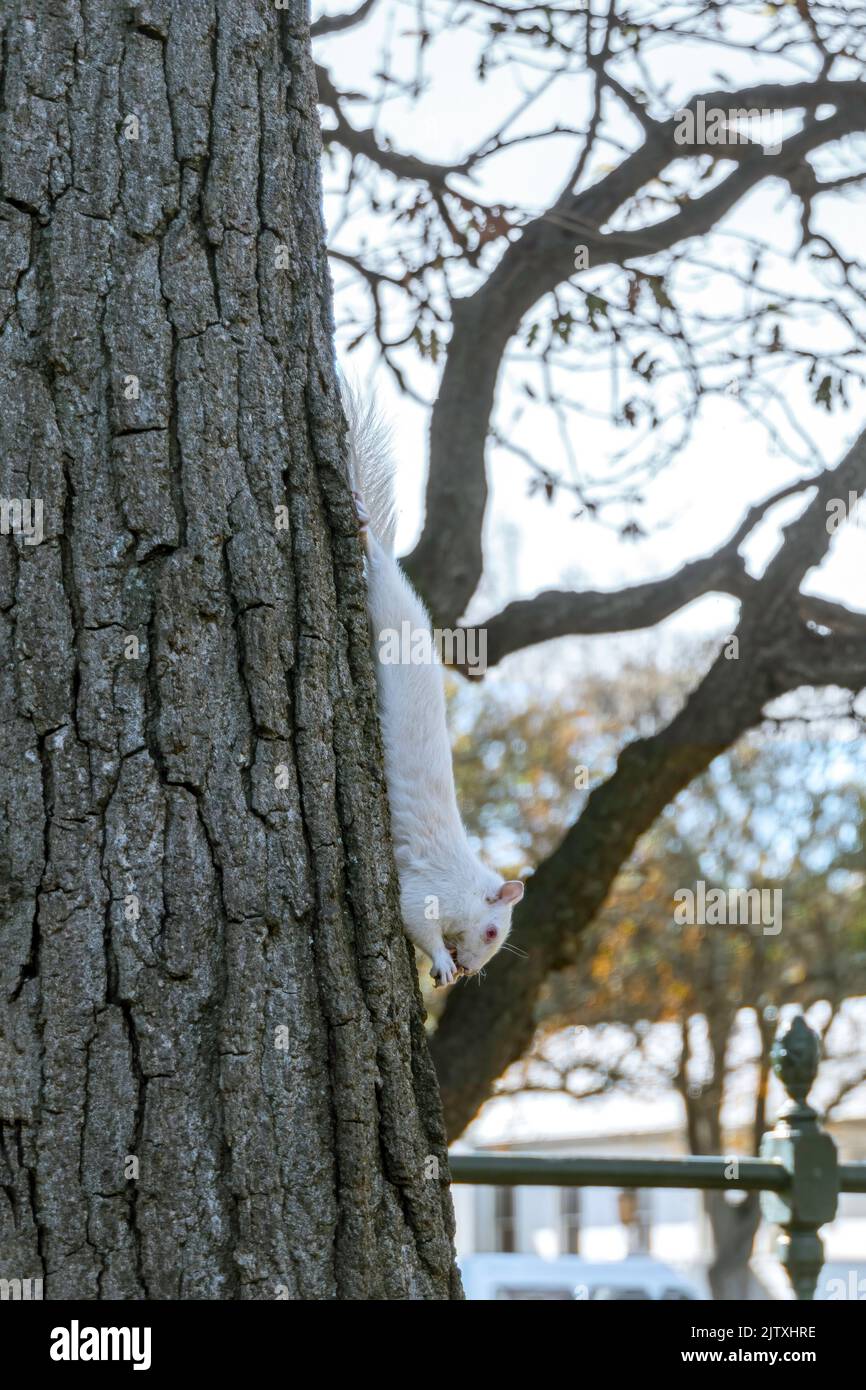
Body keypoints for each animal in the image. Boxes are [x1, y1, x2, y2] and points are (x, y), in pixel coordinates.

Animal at [345, 389, 524, 987]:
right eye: (491, 932)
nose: (470, 970)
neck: (466, 884)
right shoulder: (428, 892)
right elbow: (413, 919)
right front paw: (441, 961)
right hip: (383, 602)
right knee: (376, 560)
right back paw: (364, 530)